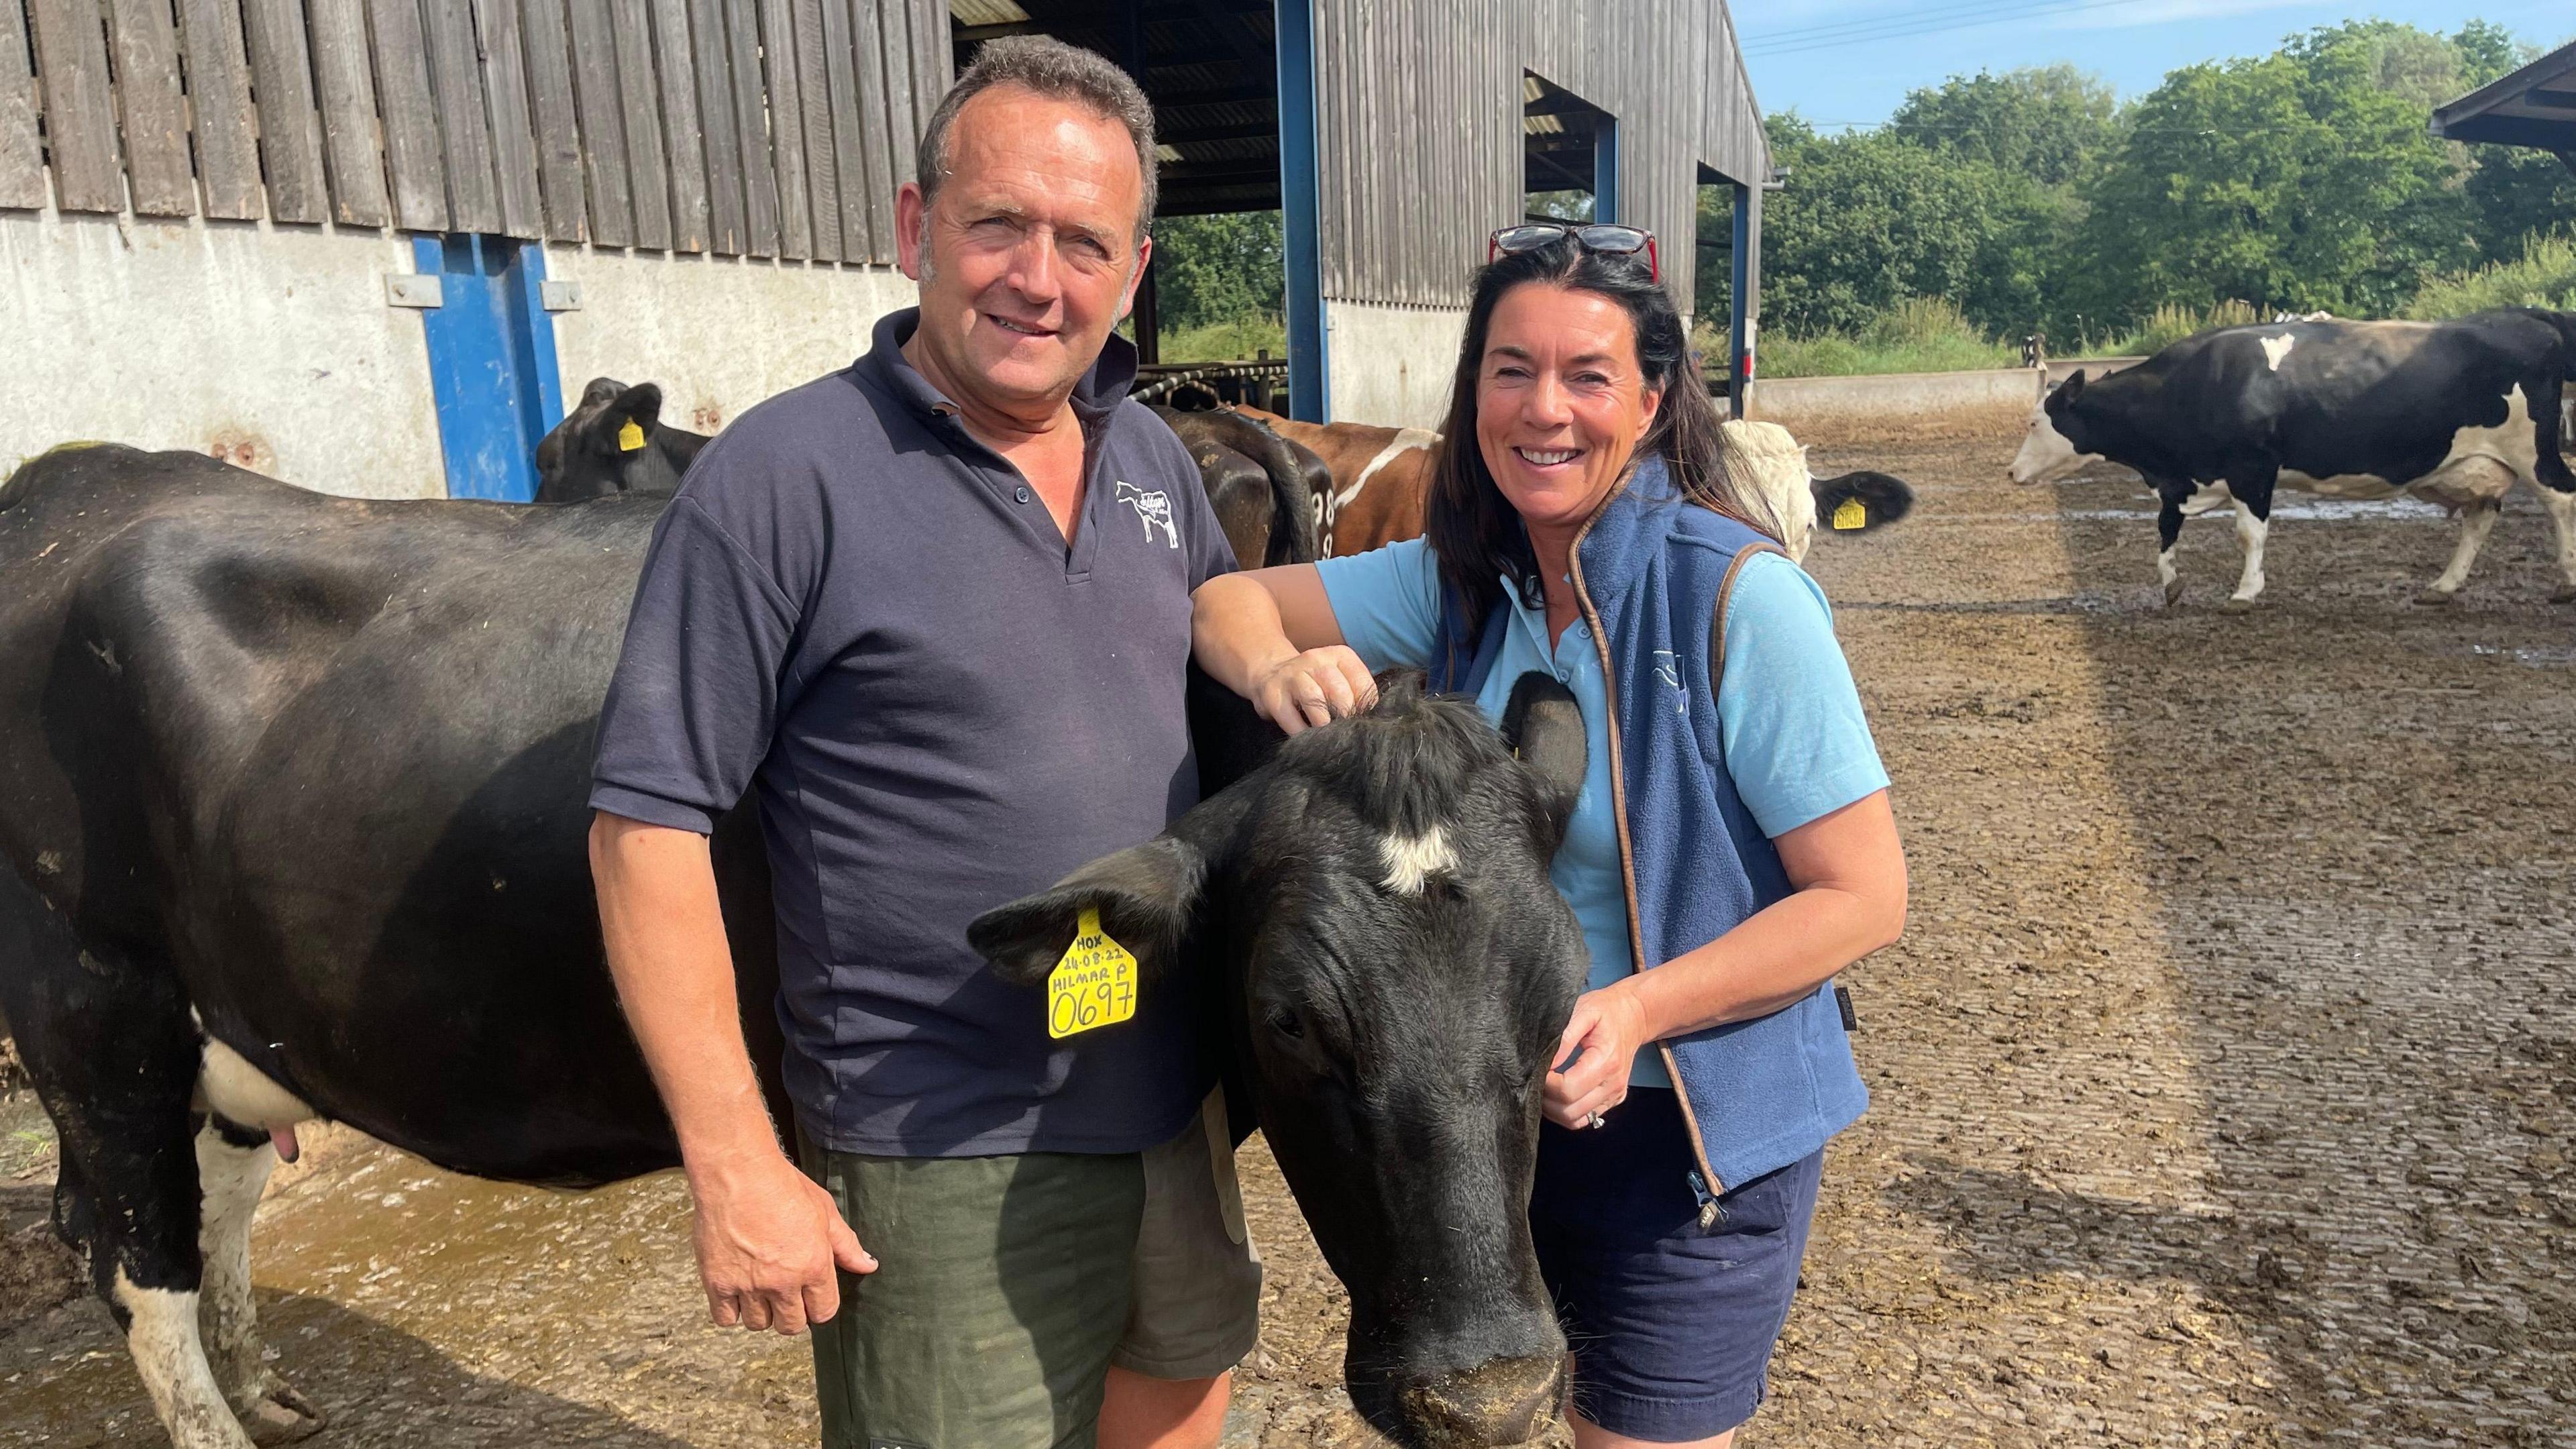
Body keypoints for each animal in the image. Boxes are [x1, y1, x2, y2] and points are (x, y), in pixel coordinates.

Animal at [0, 445, 1576, 1433]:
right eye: (1293, 1019)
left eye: (1560, 1003)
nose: (1493, 1400)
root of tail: (79, 482)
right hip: (89, 1010)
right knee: (133, 1257)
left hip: (227, 1019)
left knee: (218, 1205)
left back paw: (268, 1392)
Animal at [2009, 311, 2576, 608]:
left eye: (2036, 422)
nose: (2011, 471)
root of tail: (2528, 320)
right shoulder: (2182, 478)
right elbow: (2166, 529)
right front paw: (2171, 584)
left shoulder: (2251, 468)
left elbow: (2250, 534)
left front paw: (2246, 590)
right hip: (2478, 464)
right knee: (2480, 518)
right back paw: (2444, 585)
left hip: (2534, 452)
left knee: (2562, 500)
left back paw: (2567, 582)